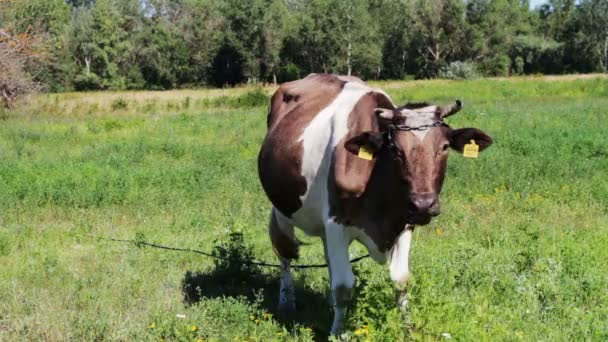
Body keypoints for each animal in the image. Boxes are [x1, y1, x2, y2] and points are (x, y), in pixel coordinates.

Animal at [258, 73, 494, 334]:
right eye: (396, 149)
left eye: (444, 147)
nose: (424, 204)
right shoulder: (336, 223)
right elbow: (343, 286)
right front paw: (338, 332)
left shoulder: (404, 221)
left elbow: (401, 280)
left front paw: (408, 327)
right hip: (281, 208)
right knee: (284, 253)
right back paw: (286, 301)